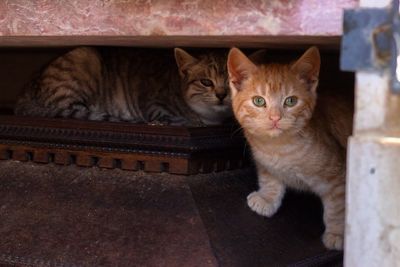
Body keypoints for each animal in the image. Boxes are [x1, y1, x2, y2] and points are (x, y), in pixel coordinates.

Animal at [227, 46, 352, 251]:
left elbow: (338, 206)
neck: (278, 149)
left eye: (291, 101)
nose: (275, 117)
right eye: (259, 101)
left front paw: (337, 233)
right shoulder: (264, 163)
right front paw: (267, 198)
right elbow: (269, 179)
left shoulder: (339, 176)